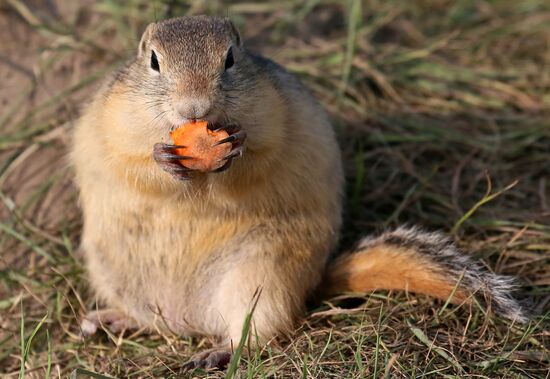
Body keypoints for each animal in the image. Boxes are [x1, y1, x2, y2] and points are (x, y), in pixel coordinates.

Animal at [71, 16, 528, 370]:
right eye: (153, 62)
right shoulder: (114, 123)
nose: (194, 108)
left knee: (258, 333)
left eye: (230, 58)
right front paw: (163, 159)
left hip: (261, 276)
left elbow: (259, 159)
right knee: (154, 321)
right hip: (117, 273)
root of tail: (190, 319)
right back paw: (110, 319)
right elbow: (131, 164)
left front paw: (233, 151)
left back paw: (219, 352)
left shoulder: (275, 120)